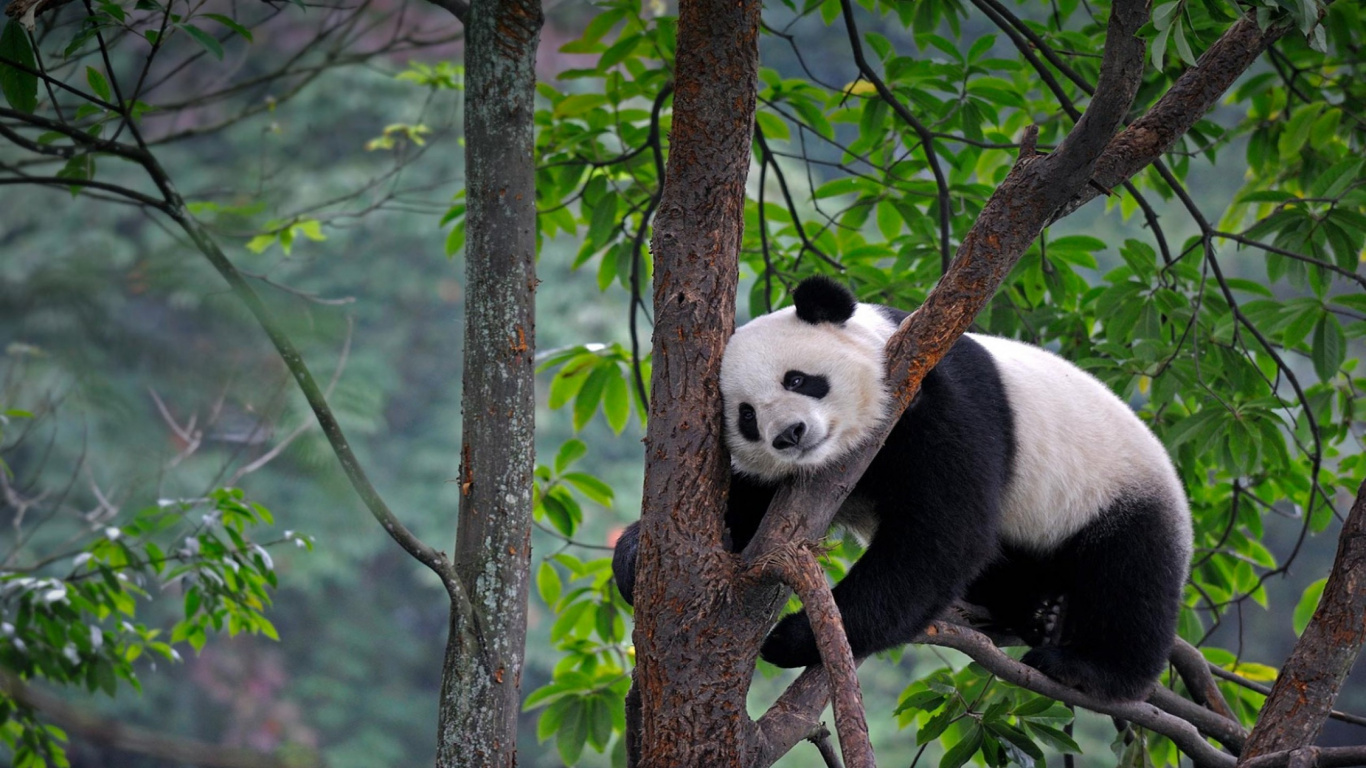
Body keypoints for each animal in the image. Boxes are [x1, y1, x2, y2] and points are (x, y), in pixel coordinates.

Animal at [613, 276, 1192, 702]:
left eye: (797, 379)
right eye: (747, 417)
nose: (790, 434)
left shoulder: (938, 397)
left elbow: (942, 533)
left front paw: (796, 636)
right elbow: (746, 511)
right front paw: (636, 557)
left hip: (1116, 486)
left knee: (1130, 575)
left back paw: (1086, 667)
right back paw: (1035, 612)